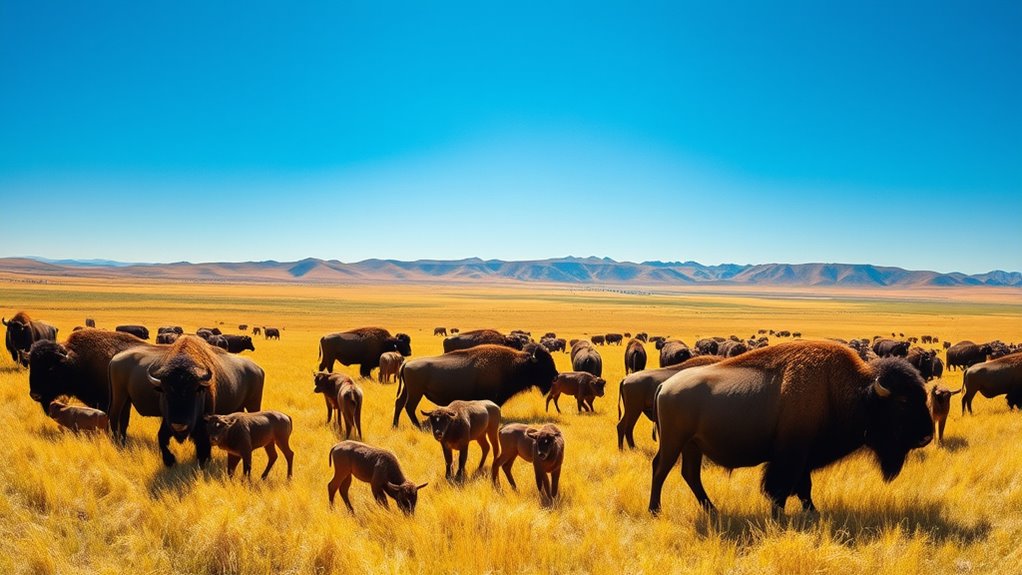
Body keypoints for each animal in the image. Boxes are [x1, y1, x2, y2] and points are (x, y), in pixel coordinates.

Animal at [393, 344, 557, 428]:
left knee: (399, 403)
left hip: (408, 391)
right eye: (544, 365)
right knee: (409, 406)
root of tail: (406, 363)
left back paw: (395, 425)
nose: (556, 376)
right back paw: (418, 426)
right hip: (416, 392)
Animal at [649, 341, 932, 517]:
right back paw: (655, 510)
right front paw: (780, 515)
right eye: (903, 402)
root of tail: (665, 386)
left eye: (923, 397)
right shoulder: (790, 456)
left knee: (690, 474)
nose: (926, 436)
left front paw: (813, 512)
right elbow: (781, 488)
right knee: (661, 468)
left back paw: (712, 510)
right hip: (675, 442)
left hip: (692, 446)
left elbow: (803, 488)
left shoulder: (803, 457)